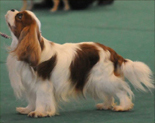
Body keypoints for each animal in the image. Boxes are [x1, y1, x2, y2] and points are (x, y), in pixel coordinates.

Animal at [5, 9, 154, 117]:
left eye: (19, 16)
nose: (12, 9)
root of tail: (111, 51)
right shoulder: (30, 84)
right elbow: (32, 99)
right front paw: (28, 109)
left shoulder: (42, 83)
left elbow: (41, 99)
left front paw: (39, 112)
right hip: (96, 79)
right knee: (109, 93)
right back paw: (106, 105)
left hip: (103, 78)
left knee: (121, 90)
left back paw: (123, 106)